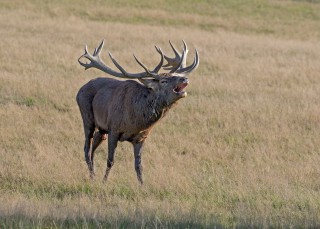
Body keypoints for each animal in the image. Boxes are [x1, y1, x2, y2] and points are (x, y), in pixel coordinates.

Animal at [76, 39, 199, 182]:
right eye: (163, 81)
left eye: (175, 75)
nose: (184, 78)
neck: (136, 121)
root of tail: (80, 90)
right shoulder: (114, 129)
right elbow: (110, 160)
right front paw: (104, 181)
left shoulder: (141, 137)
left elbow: (139, 166)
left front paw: (142, 185)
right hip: (87, 116)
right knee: (86, 148)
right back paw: (92, 176)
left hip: (102, 129)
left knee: (95, 142)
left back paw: (93, 174)